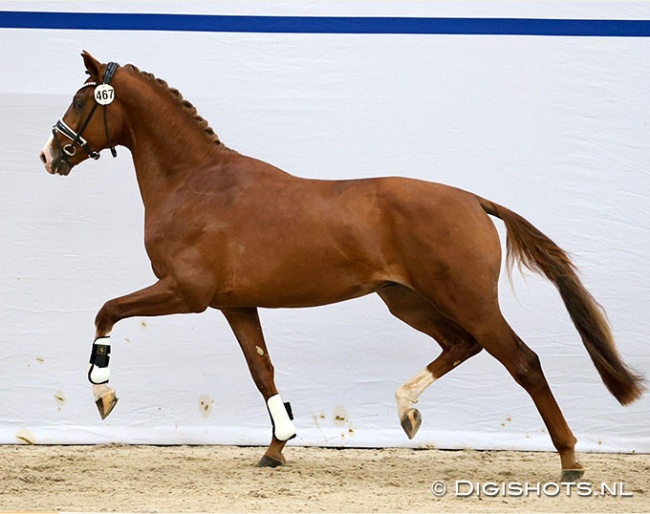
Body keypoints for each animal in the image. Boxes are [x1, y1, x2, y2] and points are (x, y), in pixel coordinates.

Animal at [39, 51, 644, 479]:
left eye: (81, 100)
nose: (49, 155)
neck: (196, 184)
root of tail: (473, 200)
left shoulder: (186, 293)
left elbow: (107, 311)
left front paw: (103, 393)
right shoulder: (236, 304)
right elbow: (263, 372)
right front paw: (277, 447)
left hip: (466, 300)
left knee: (524, 362)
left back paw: (570, 461)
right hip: (406, 300)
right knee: (461, 345)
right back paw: (406, 411)